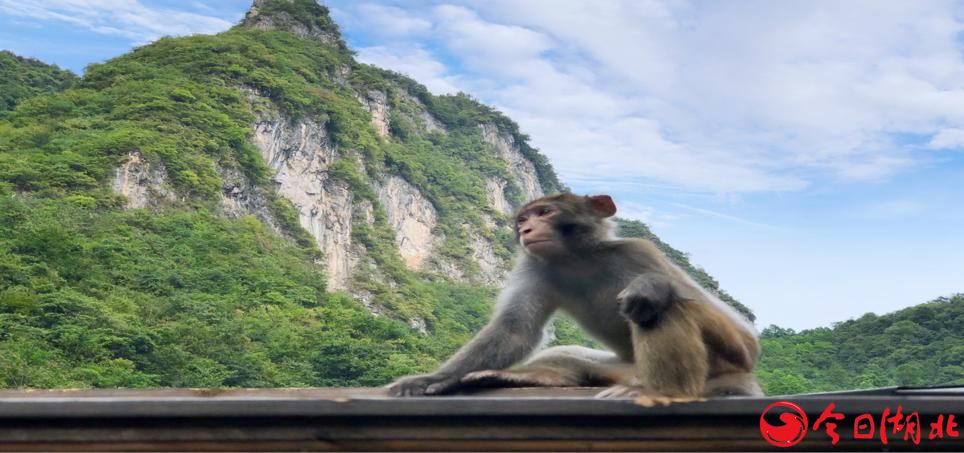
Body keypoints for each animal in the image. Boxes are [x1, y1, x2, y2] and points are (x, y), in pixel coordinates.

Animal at [386, 192, 760, 400]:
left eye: (544, 213)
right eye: (523, 219)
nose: (526, 229)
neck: (580, 258)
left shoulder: (639, 252)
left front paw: (651, 286)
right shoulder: (535, 266)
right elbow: (515, 329)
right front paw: (436, 378)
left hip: (731, 358)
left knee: (664, 307)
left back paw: (667, 390)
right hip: (625, 368)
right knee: (570, 357)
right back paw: (523, 376)